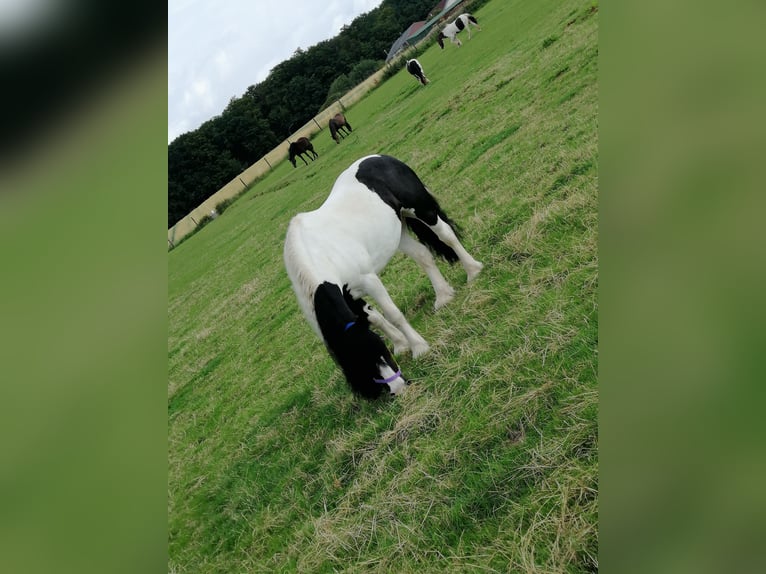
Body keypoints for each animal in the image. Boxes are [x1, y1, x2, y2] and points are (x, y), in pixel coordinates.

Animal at [284, 155, 484, 402]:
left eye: (380, 352)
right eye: (361, 366)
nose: (399, 388)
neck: (319, 254)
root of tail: (383, 158)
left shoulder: (369, 281)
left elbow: (393, 314)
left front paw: (418, 347)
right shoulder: (350, 296)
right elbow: (374, 318)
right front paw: (401, 344)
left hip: (421, 209)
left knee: (446, 235)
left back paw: (473, 270)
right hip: (400, 230)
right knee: (423, 255)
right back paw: (443, 296)